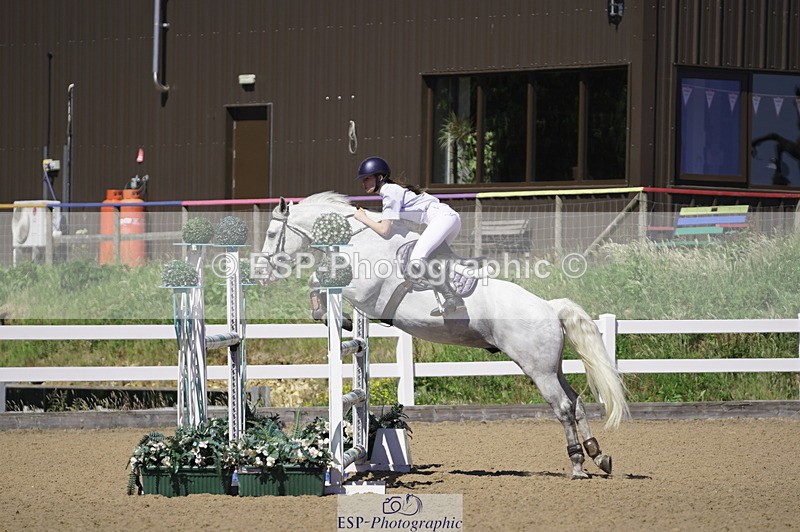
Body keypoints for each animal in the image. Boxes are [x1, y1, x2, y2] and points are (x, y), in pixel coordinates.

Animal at [258, 191, 629, 478]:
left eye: (273, 232)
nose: (261, 273)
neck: (360, 239)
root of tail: (550, 307)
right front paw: (338, 319)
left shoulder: (363, 291)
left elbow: (316, 280)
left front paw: (334, 317)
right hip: (552, 366)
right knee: (577, 403)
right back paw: (599, 456)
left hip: (538, 369)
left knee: (563, 407)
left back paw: (578, 464)